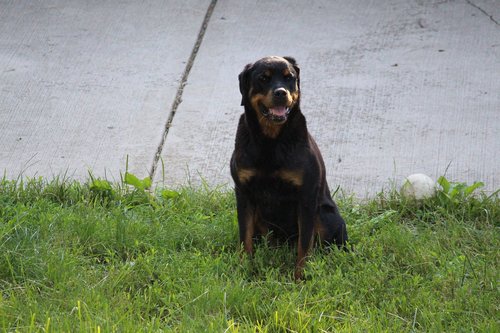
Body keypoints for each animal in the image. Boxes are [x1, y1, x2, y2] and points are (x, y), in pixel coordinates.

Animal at [230, 55, 348, 278]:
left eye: (289, 77)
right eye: (263, 78)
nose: (280, 92)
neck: (270, 141)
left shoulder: (306, 196)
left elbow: (305, 244)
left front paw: (300, 277)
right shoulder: (244, 194)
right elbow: (244, 237)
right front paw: (244, 269)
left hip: (325, 215)